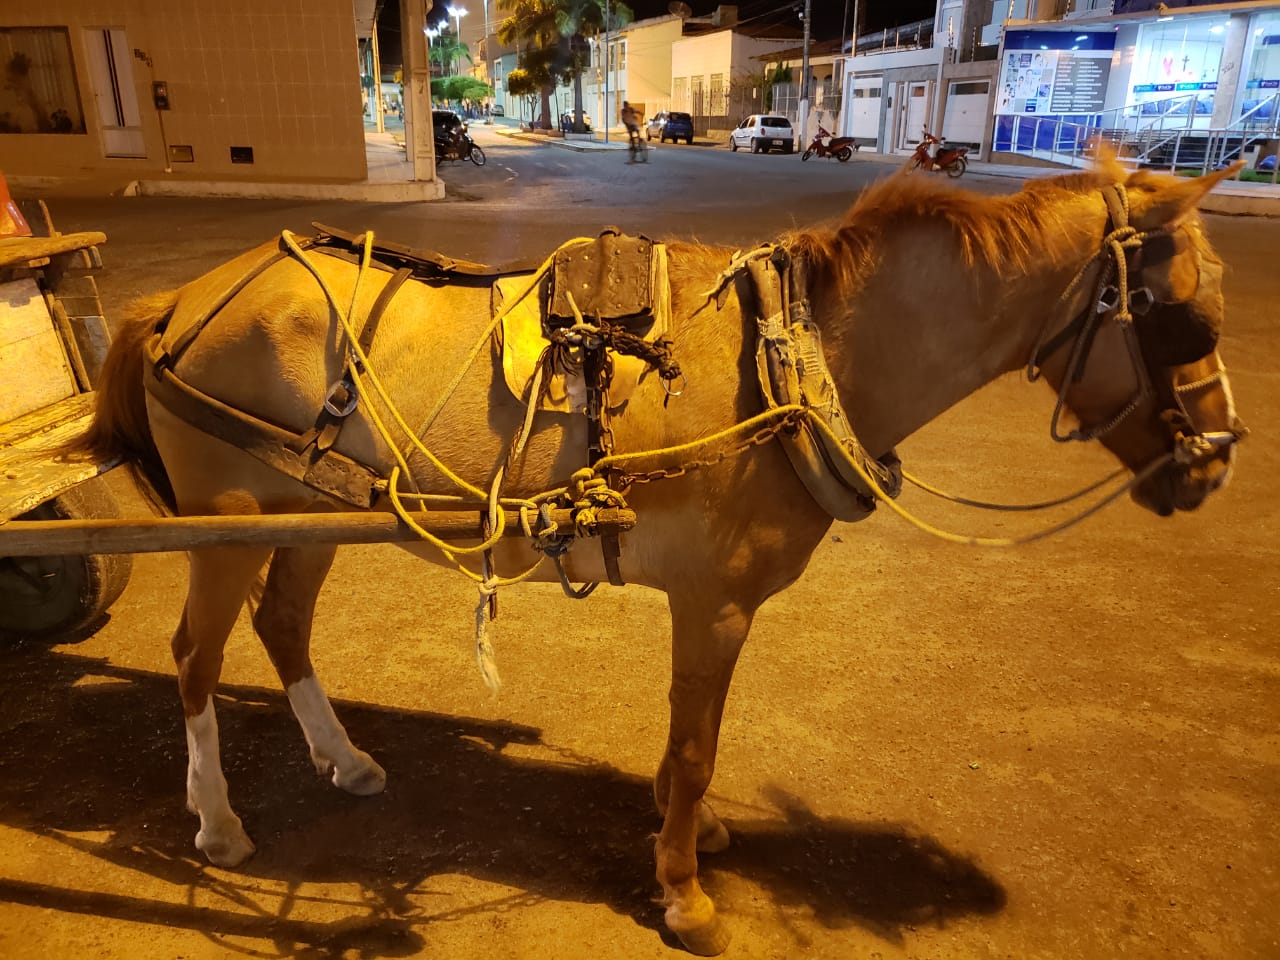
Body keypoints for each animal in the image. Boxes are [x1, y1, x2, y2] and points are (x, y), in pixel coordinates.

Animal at [77, 158, 1239, 957]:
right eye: (1182, 320)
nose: (1216, 461)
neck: (794, 357)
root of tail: (185, 300)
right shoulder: (715, 603)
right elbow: (694, 750)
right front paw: (682, 892)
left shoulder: (707, 605)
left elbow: (691, 741)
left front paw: (690, 846)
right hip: (227, 517)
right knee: (193, 658)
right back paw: (216, 820)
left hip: (307, 510)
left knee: (282, 623)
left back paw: (345, 759)